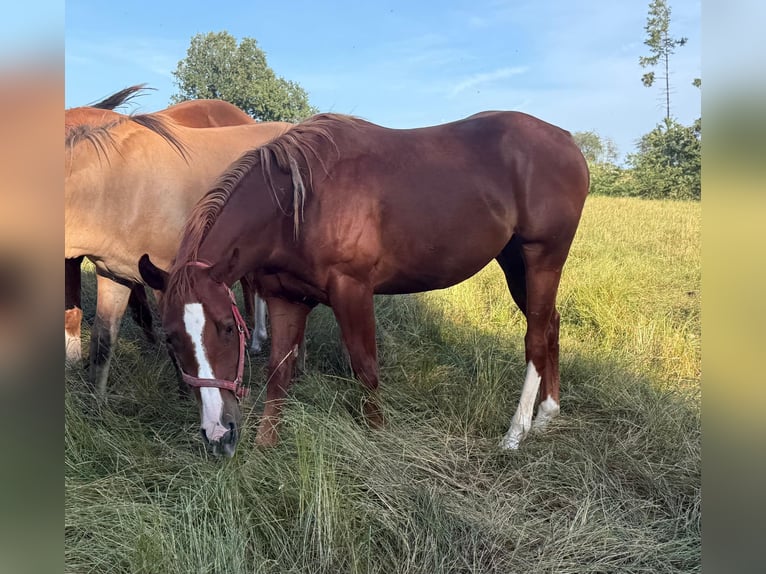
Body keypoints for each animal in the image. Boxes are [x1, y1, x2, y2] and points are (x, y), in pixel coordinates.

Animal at [139, 111, 589, 457]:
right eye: (171, 339)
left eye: (227, 329)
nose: (219, 434)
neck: (297, 205)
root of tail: (566, 140)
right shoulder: (286, 298)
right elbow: (278, 373)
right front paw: (266, 448)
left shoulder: (352, 291)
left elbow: (365, 369)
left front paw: (377, 437)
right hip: (516, 263)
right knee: (551, 324)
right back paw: (547, 414)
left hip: (543, 258)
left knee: (535, 337)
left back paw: (516, 432)